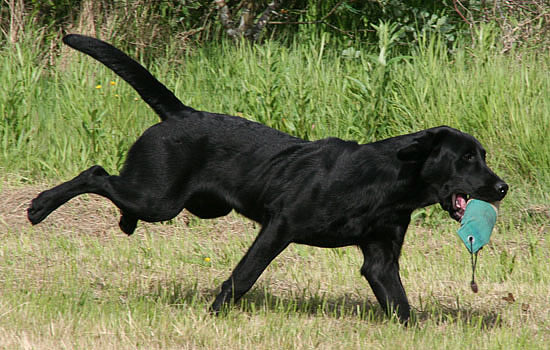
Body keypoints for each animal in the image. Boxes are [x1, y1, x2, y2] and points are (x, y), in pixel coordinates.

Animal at [27, 35, 508, 322]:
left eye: (483, 155)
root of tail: (180, 112)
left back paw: (121, 223)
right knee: (96, 174)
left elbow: (401, 305)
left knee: (115, 190)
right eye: (466, 158)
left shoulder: (380, 259)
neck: (388, 182)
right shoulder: (280, 226)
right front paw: (215, 314)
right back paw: (39, 207)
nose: (502, 188)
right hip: (158, 197)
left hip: (187, 204)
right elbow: (243, 275)